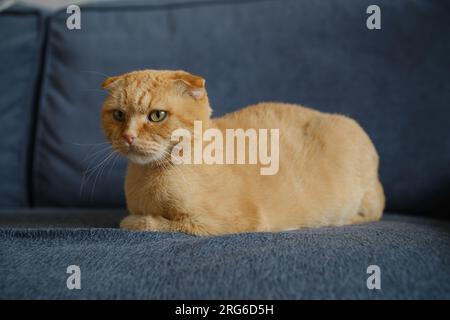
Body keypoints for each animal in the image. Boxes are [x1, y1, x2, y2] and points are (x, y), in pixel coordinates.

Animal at [101, 69, 384, 235]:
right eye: (119, 115)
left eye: (157, 116)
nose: (128, 136)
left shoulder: (212, 224)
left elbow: (144, 222)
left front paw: (133, 221)